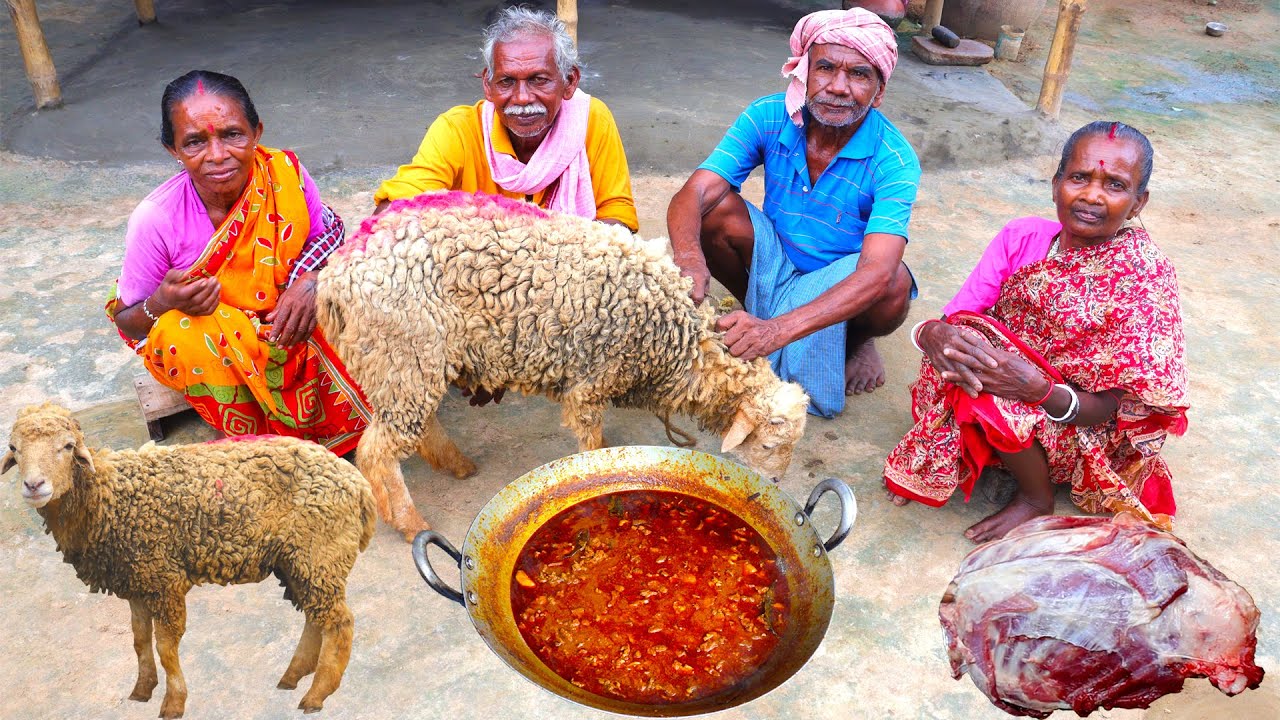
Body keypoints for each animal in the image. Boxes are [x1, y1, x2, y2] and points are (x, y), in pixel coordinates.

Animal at [3, 403, 376, 718]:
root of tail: (359, 485)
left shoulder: (164, 579)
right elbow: (139, 640)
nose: (34, 485)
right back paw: (293, 676)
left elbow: (166, 646)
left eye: (68, 446)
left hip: (319, 555)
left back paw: (316, 695)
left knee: (339, 622)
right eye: (14, 449)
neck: (106, 496)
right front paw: (142, 690)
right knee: (316, 617)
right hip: (299, 561)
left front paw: (173, 702)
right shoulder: (136, 580)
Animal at [315, 191, 809, 542]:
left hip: (415, 360)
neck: (678, 340)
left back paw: (456, 465)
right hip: (400, 351)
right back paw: (410, 522)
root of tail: (335, 276)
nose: (773, 484)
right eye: (767, 445)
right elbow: (590, 440)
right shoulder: (592, 379)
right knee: (377, 451)